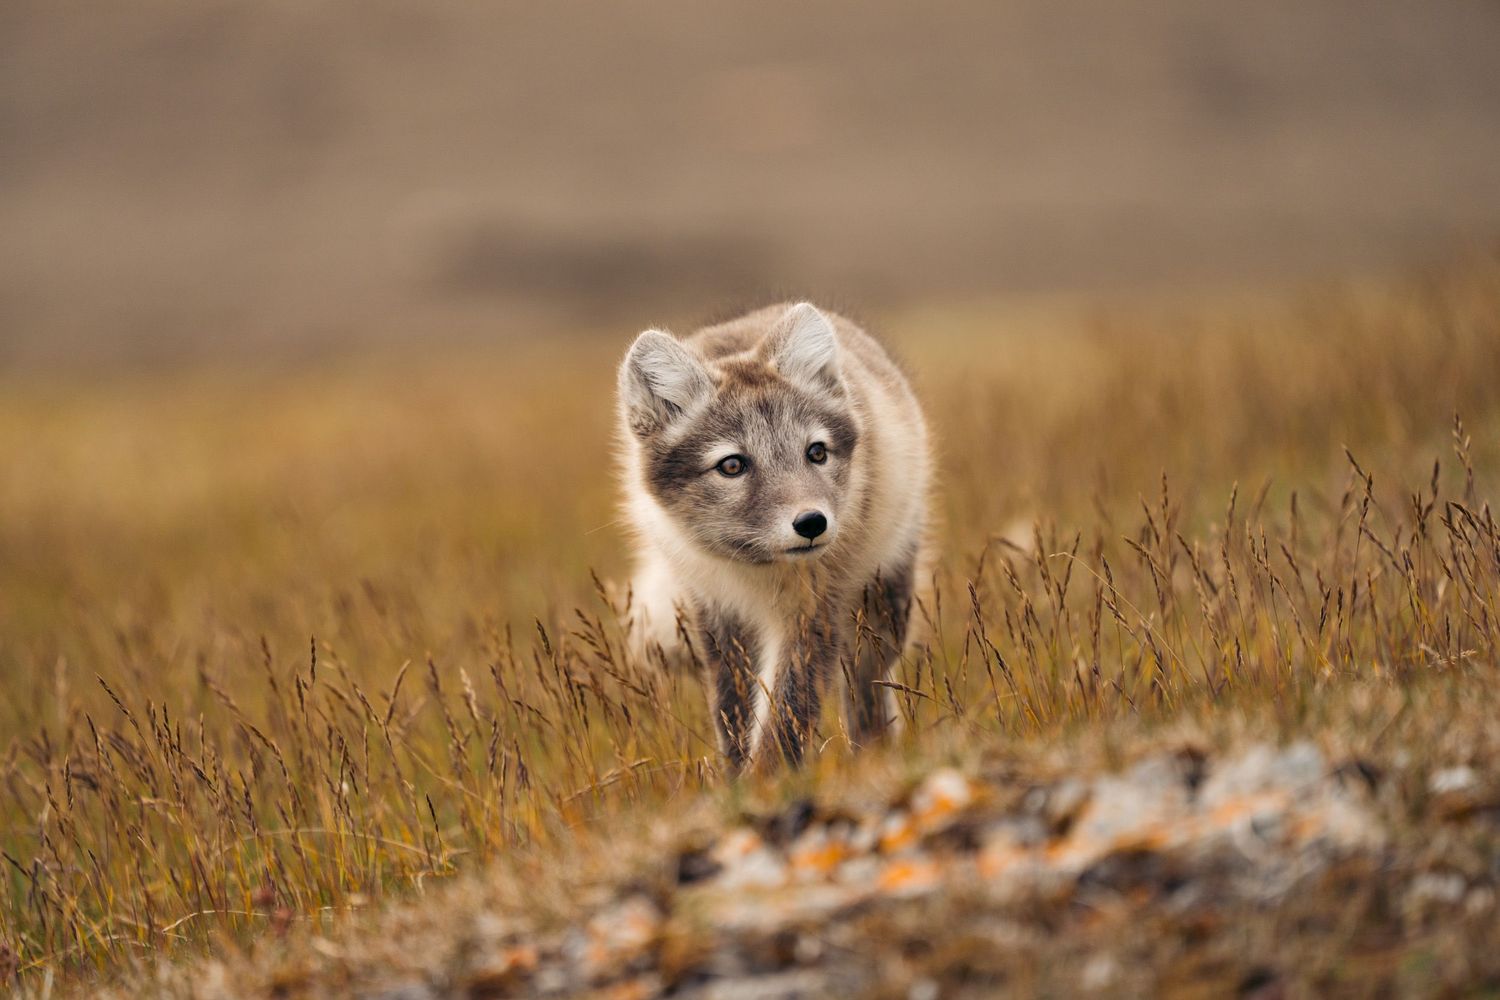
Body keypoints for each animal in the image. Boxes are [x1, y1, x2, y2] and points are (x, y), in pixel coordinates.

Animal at [617, 301, 931, 769]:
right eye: (731, 465)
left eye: (816, 452)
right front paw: (734, 777)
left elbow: (786, 715)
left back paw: (871, 752)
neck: (755, 569)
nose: (813, 523)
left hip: (884, 599)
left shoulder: (812, 610)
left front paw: (766, 779)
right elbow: (731, 708)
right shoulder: (717, 609)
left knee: (866, 678)